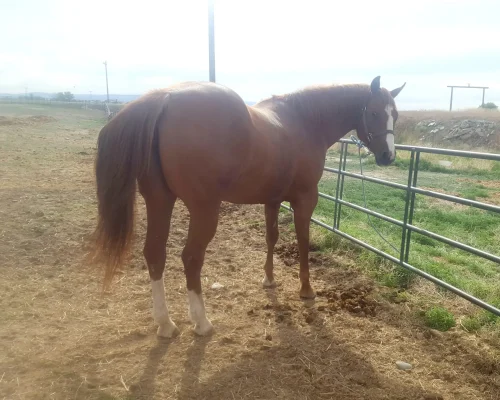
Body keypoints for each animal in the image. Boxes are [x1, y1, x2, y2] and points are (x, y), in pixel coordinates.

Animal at [92, 76, 406, 338]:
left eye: (396, 115)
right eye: (374, 112)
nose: (388, 156)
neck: (304, 122)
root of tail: (164, 98)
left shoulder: (272, 200)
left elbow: (272, 238)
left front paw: (269, 279)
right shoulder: (305, 199)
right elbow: (303, 241)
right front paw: (306, 289)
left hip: (160, 201)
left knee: (154, 254)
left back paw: (166, 324)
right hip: (204, 209)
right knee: (191, 258)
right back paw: (201, 322)